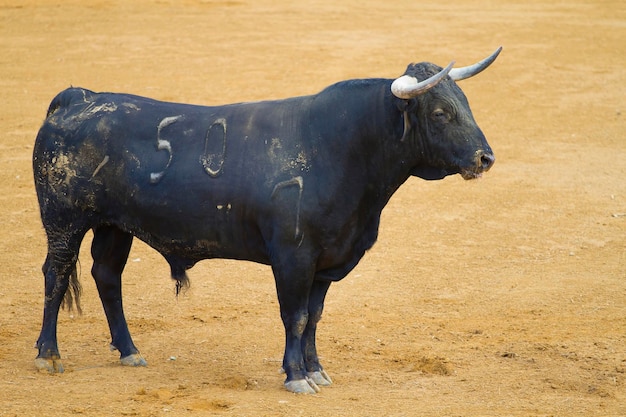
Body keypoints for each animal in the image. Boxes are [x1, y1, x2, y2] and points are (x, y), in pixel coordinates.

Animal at [34, 47, 500, 392]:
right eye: (439, 112)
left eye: (465, 104)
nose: (485, 158)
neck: (340, 147)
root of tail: (79, 98)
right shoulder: (293, 257)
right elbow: (294, 315)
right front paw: (296, 377)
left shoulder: (326, 262)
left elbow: (314, 317)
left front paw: (316, 371)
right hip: (64, 220)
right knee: (57, 274)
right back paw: (49, 355)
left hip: (115, 225)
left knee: (106, 276)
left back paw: (129, 351)